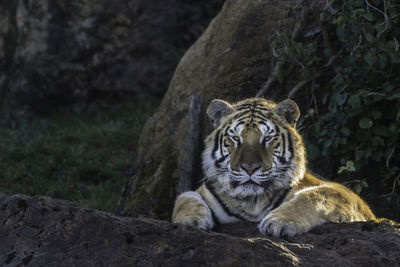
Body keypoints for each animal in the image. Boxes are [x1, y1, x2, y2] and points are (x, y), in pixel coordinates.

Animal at [172, 98, 376, 237]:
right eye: (236, 139)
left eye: (267, 138)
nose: (250, 168)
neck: (252, 201)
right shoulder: (206, 190)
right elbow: (185, 197)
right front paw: (190, 221)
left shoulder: (346, 194)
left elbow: (313, 196)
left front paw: (279, 222)